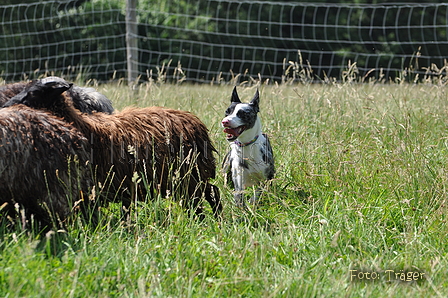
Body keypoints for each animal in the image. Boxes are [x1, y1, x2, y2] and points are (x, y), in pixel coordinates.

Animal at [3, 78, 220, 219]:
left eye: (34, 92)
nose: (6, 106)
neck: (83, 125)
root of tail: (195, 123)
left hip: (190, 176)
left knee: (210, 194)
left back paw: (210, 219)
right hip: (183, 178)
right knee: (207, 194)